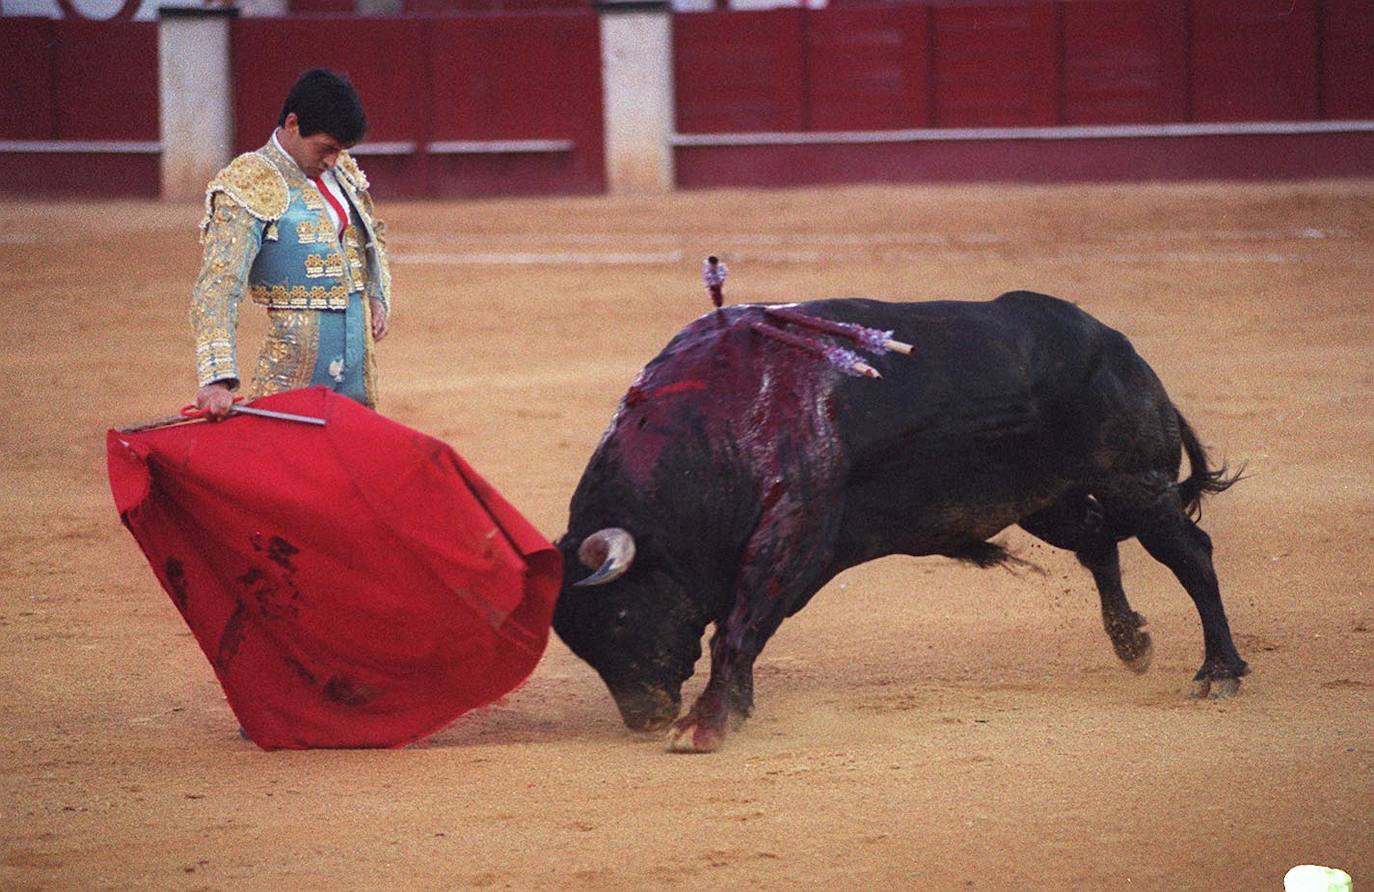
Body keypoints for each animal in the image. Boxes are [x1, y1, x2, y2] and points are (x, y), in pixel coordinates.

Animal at [552, 292, 1253, 753]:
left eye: (620, 615)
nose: (644, 717)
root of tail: (1119, 347)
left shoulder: (794, 529)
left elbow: (741, 623)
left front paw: (706, 723)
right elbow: (745, 625)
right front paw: (729, 709)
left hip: (1136, 482)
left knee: (1191, 553)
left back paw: (1218, 674)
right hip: (1043, 500)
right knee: (1098, 541)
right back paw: (1131, 642)